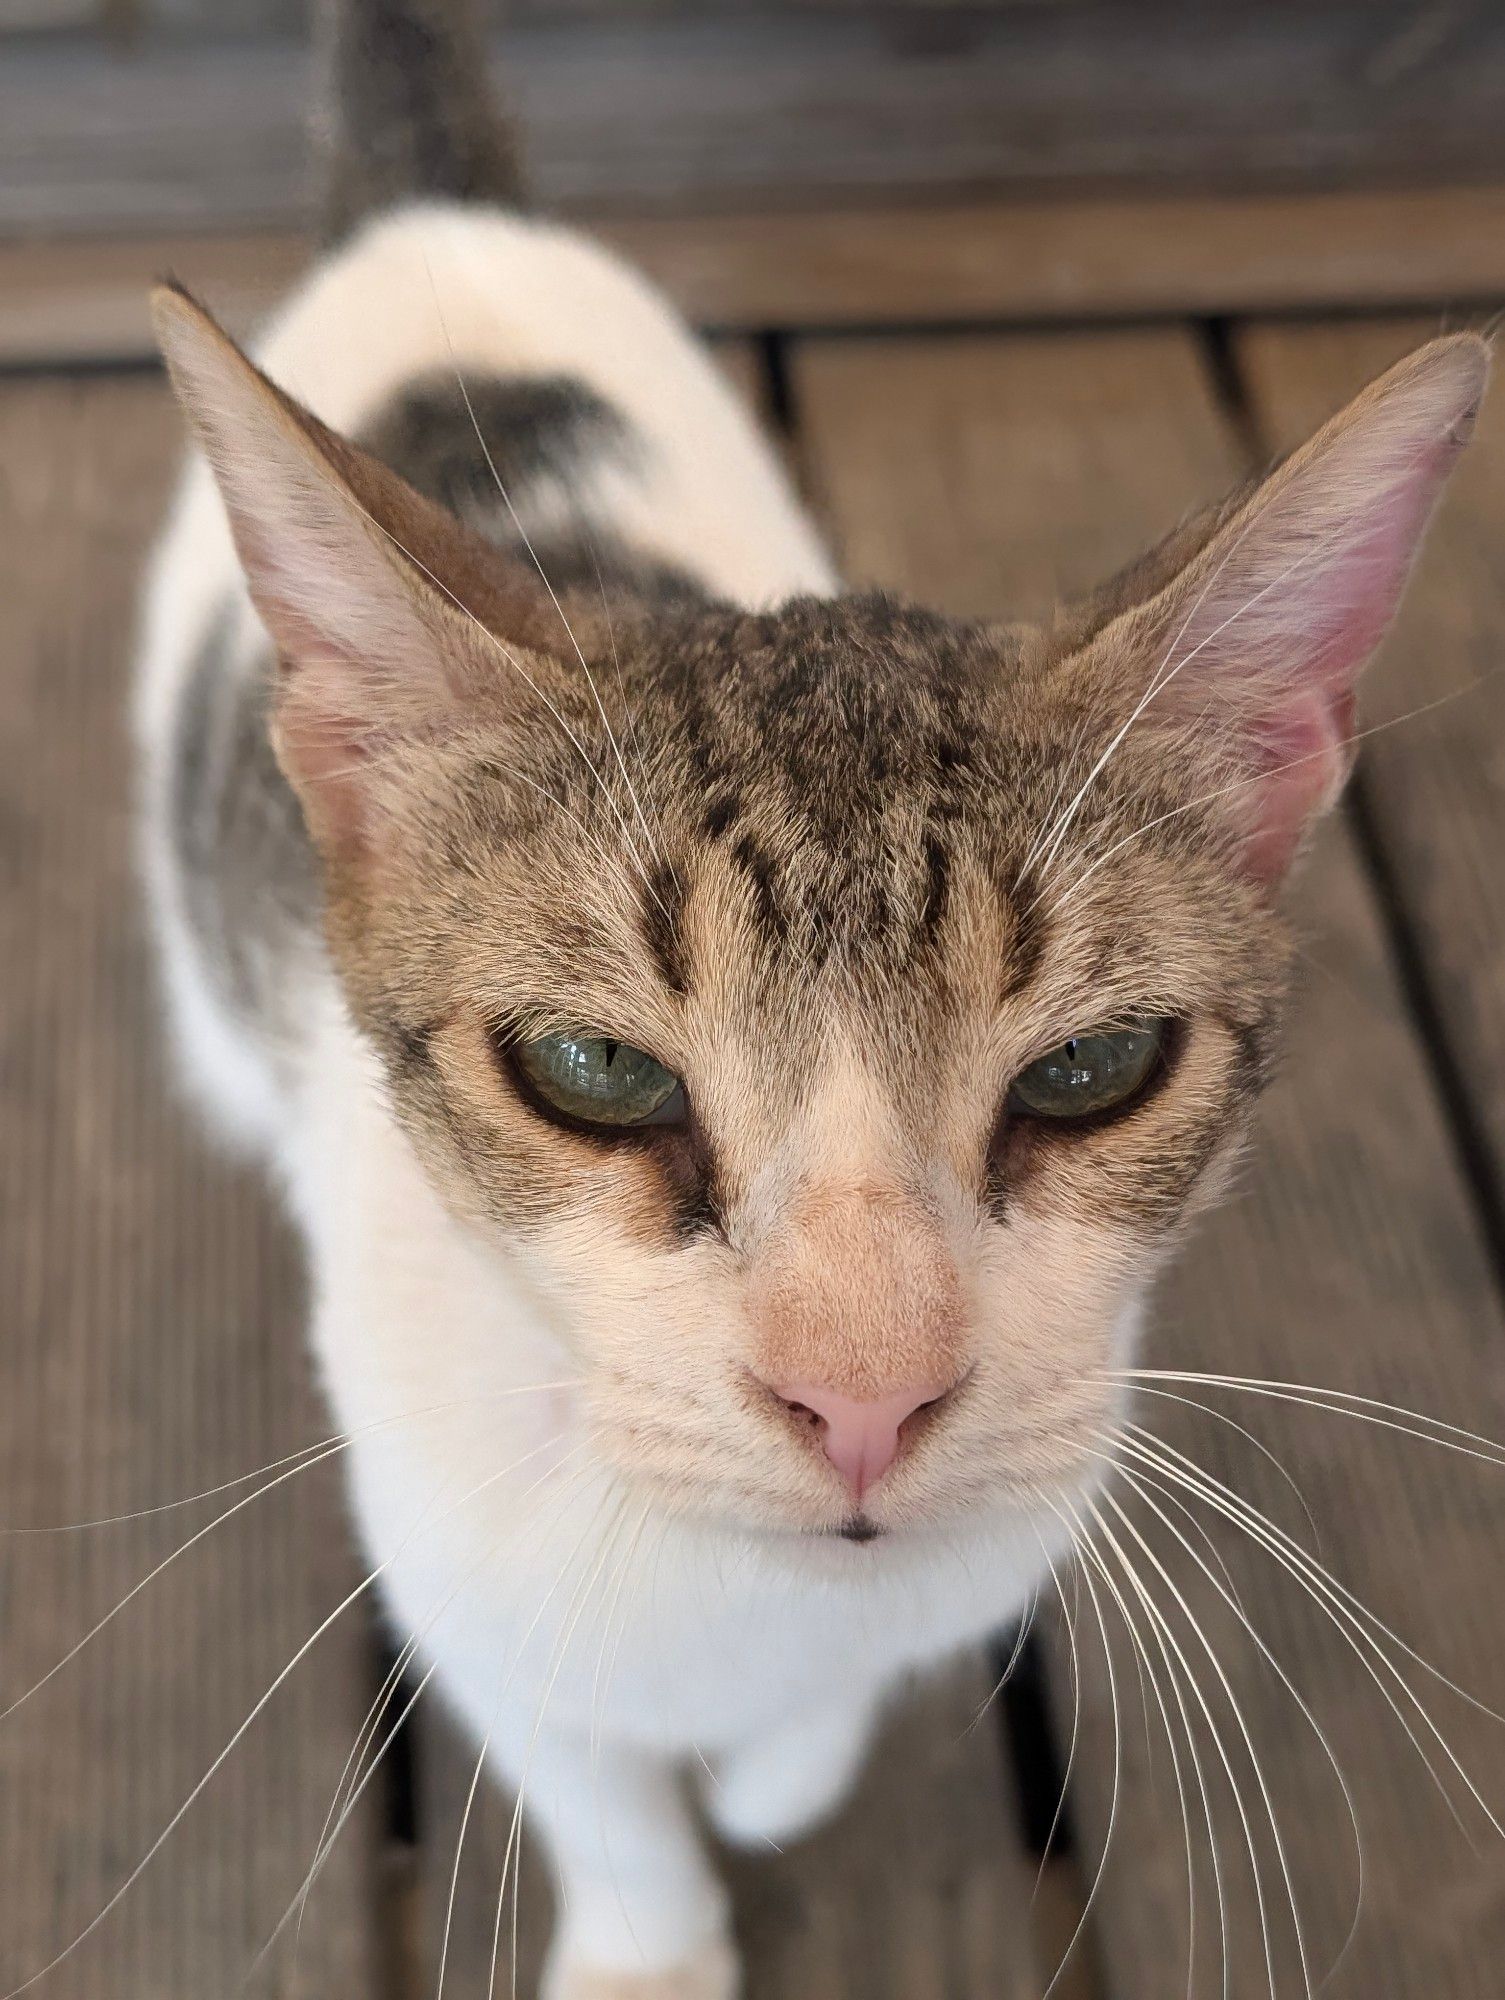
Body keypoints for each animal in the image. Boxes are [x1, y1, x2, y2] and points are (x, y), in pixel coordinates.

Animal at [135, 7, 1488, 1992]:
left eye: (1093, 1065)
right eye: (592, 1068)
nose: (865, 1401)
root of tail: (438, 219)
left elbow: (831, 1701)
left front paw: (781, 1772)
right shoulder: (455, 1577)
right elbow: (594, 1785)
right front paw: (649, 1942)